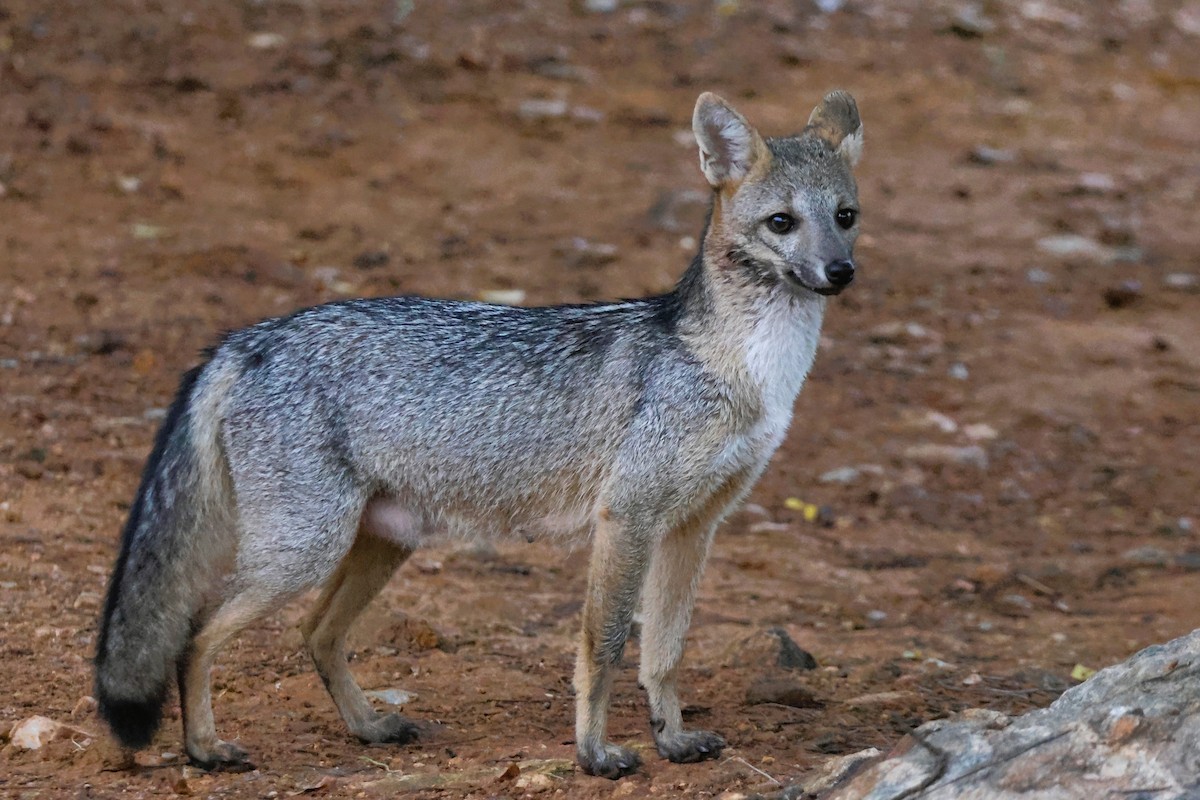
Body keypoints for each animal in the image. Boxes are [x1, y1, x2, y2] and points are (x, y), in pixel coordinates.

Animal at [93, 89, 864, 779]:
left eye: (845, 217)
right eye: (782, 222)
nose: (840, 270)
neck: (744, 369)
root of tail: (250, 337)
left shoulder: (692, 528)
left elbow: (665, 652)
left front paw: (672, 738)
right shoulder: (628, 518)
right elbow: (606, 646)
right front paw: (593, 754)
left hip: (377, 544)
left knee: (314, 633)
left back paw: (368, 726)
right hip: (304, 551)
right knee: (195, 633)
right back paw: (204, 749)